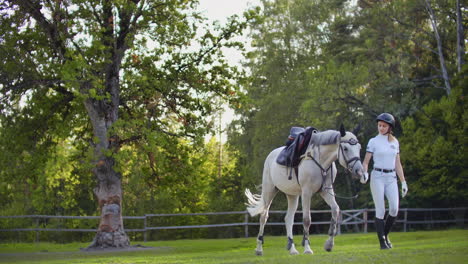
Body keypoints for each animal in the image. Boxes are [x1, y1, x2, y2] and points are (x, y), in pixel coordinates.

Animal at [243, 126, 368, 256]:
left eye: (359, 148)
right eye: (345, 148)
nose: (359, 171)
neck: (320, 160)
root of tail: (270, 156)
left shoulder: (326, 190)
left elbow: (335, 210)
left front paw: (329, 244)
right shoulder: (307, 192)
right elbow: (307, 220)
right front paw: (308, 248)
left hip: (292, 195)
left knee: (289, 219)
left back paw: (292, 249)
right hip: (269, 191)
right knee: (264, 217)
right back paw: (259, 249)